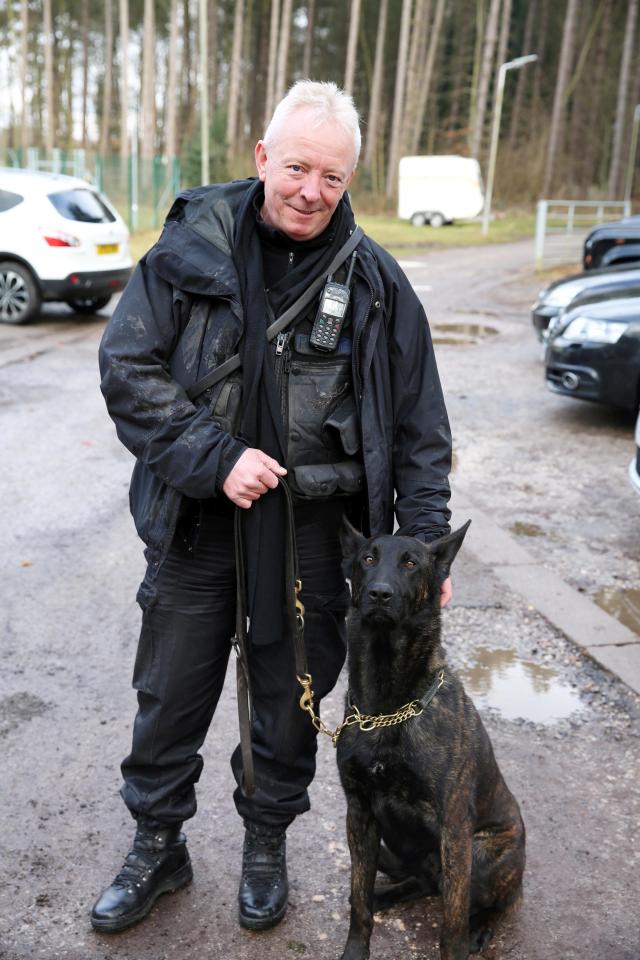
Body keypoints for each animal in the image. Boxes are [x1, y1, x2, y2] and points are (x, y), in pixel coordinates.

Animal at [336, 524, 524, 960]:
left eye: (410, 563)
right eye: (368, 558)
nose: (379, 594)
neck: (388, 706)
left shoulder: (453, 829)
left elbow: (452, 923)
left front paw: (460, 941)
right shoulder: (360, 814)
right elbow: (358, 900)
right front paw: (356, 946)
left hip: (482, 853)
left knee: (501, 901)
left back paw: (481, 928)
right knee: (422, 883)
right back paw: (385, 894)